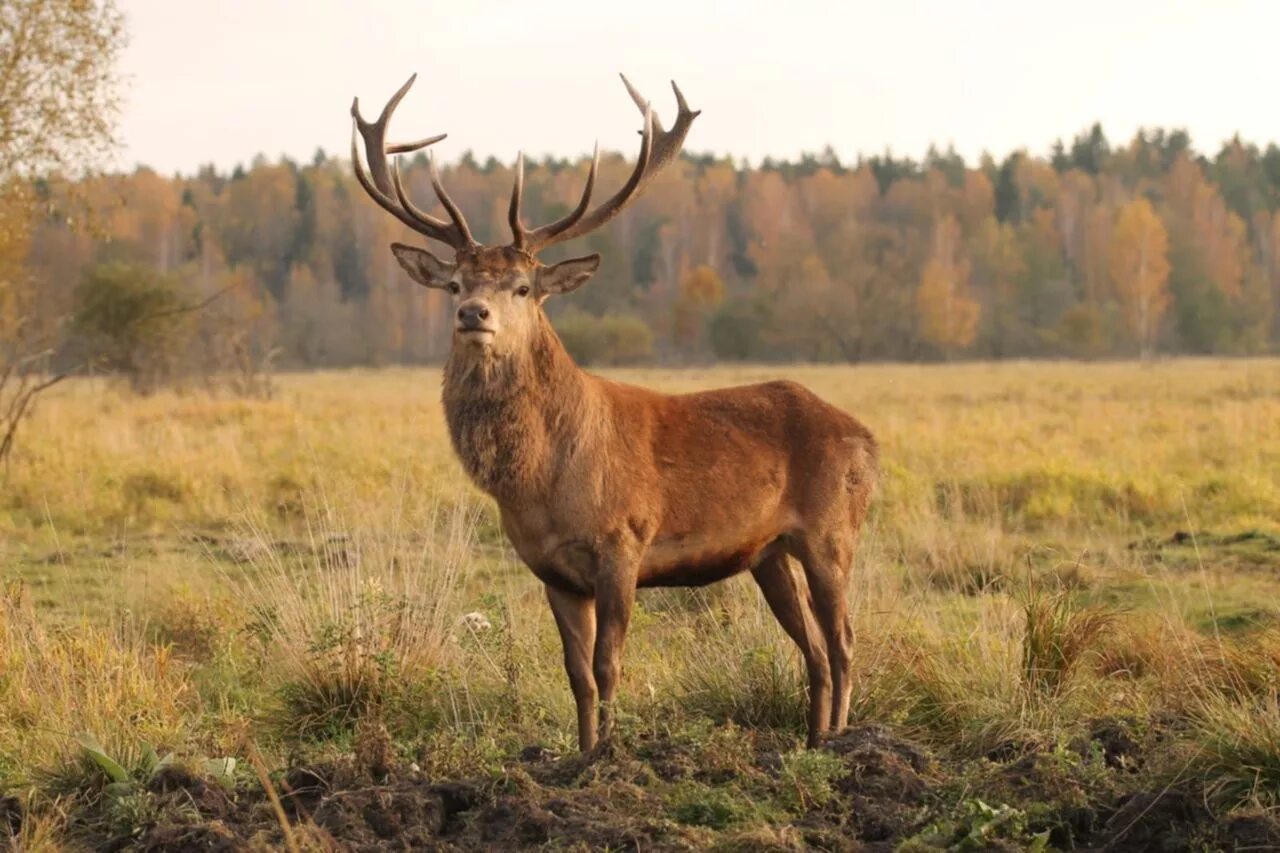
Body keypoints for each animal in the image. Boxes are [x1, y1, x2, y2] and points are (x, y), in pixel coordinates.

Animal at [350, 73, 880, 753]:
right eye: (454, 284)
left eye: (523, 287)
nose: (473, 313)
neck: (542, 482)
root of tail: (867, 438)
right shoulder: (550, 568)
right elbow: (576, 672)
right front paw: (580, 754)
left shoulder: (623, 540)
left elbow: (608, 664)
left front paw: (611, 753)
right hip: (768, 552)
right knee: (812, 646)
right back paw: (813, 739)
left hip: (832, 529)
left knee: (843, 640)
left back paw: (843, 740)